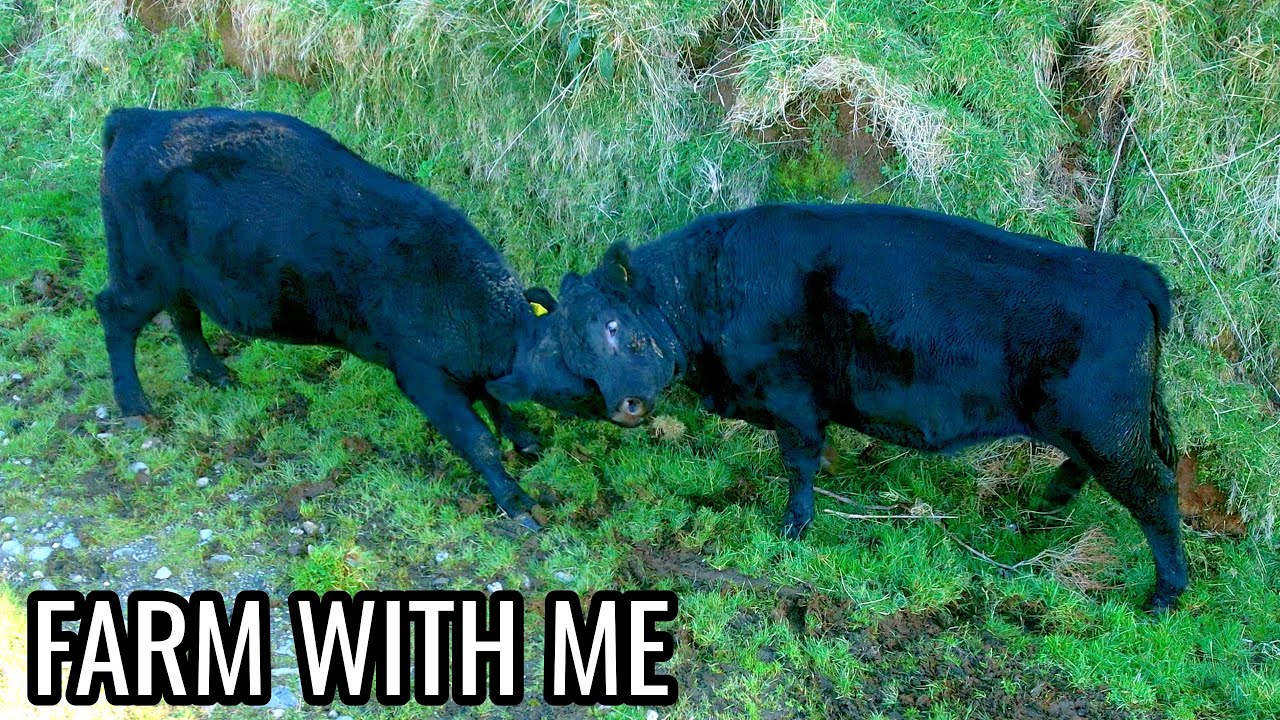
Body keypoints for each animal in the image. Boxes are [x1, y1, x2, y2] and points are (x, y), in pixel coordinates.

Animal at [97, 106, 560, 529]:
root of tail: (138, 118)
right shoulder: (421, 375)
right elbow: (477, 439)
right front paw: (516, 501)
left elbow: (498, 406)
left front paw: (524, 439)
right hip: (140, 271)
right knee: (114, 313)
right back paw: (135, 406)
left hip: (178, 277)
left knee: (184, 315)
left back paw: (213, 372)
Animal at [489, 203, 1188, 611]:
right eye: (572, 346)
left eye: (618, 328)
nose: (626, 405)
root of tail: (1128, 272)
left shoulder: (793, 398)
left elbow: (799, 464)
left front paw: (793, 528)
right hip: (1096, 428)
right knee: (1086, 472)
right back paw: (1044, 512)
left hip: (1106, 427)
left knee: (1156, 492)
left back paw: (1165, 594)